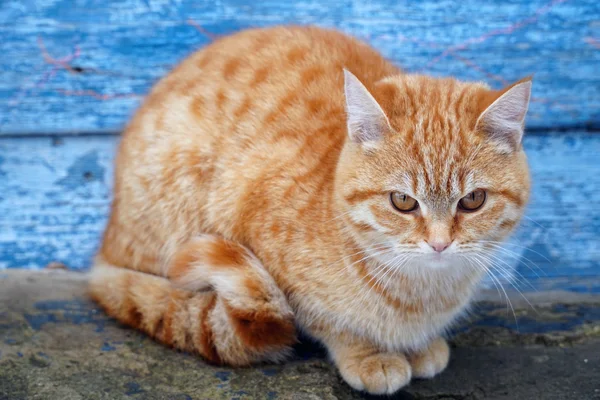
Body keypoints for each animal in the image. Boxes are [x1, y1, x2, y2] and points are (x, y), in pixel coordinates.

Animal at [89, 26, 528, 396]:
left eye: (472, 200)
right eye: (402, 201)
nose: (439, 244)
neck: (420, 293)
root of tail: (104, 246)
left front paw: (419, 347)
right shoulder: (253, 219)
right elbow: (328, 321)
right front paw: (367, 354)